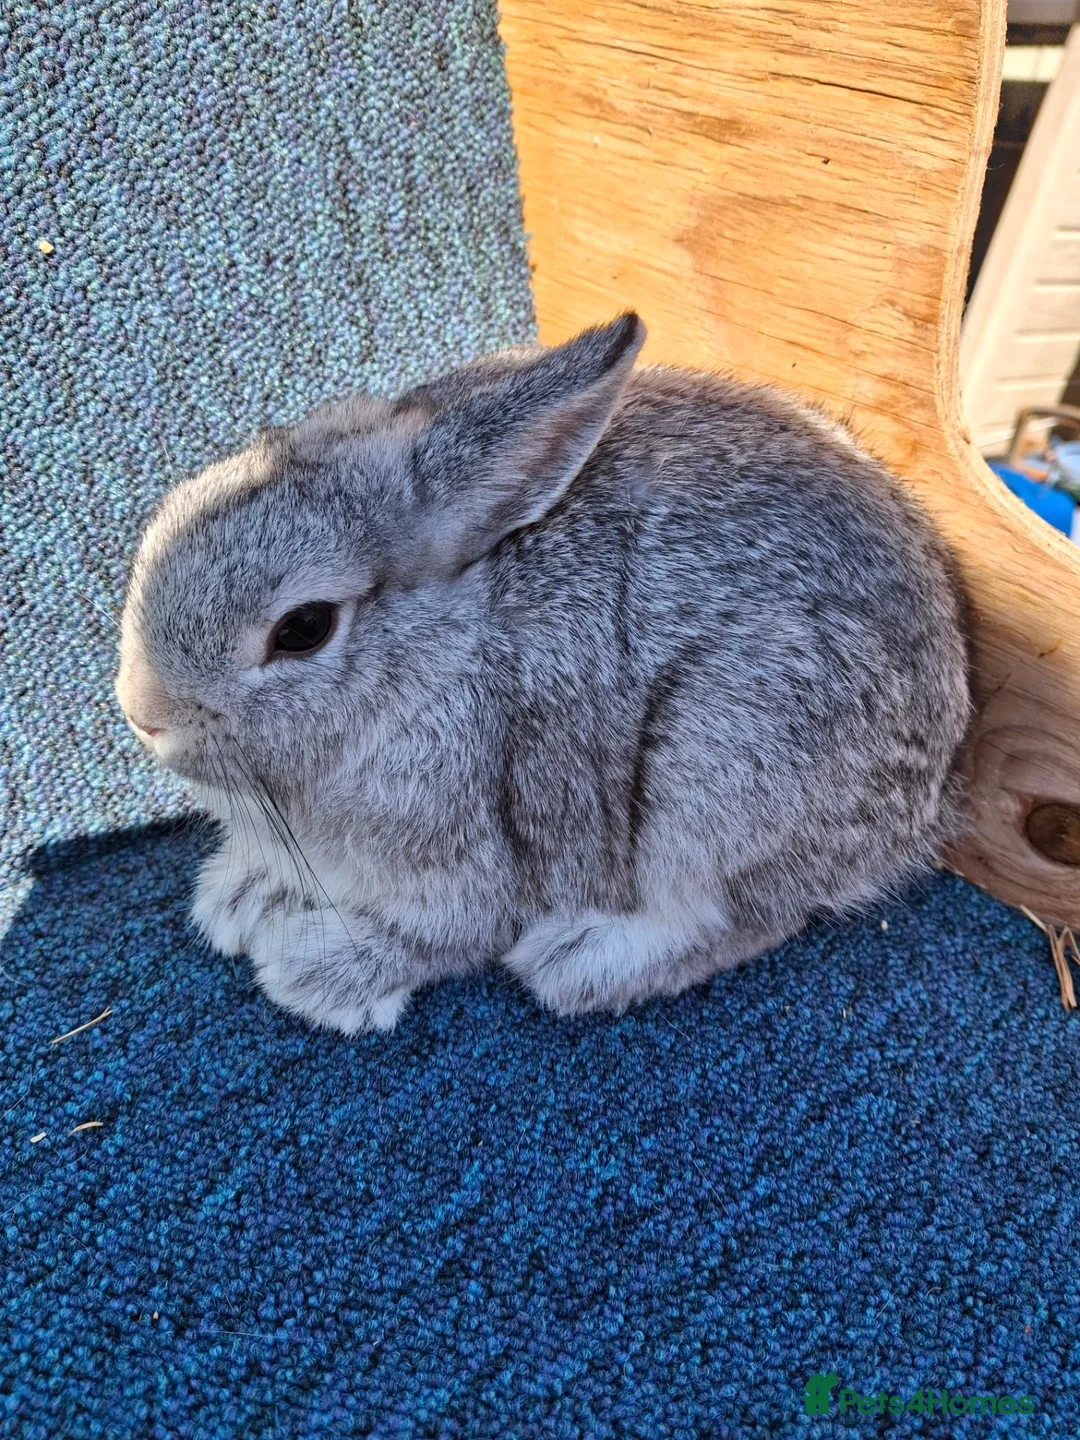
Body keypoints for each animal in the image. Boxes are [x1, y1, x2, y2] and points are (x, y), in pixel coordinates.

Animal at [116, 313, 971, 1034]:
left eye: (303, 629)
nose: (143, 712)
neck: (433, 656)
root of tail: (926, 804)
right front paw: (238, 898)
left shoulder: (464, 869)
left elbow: (443, 941)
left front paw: (317, 974)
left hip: (716, 771)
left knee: (746, 916)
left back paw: (581, 963)